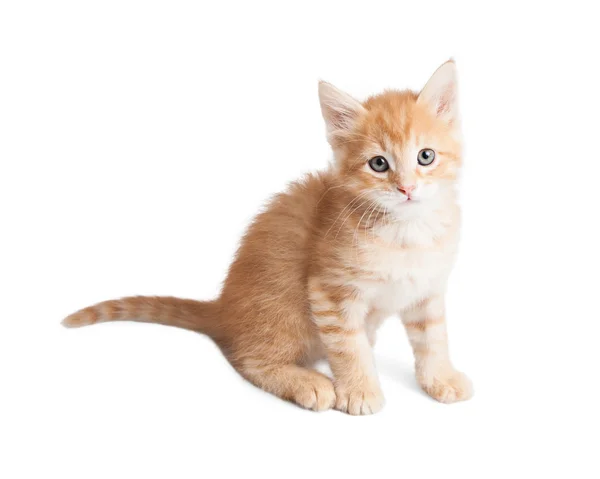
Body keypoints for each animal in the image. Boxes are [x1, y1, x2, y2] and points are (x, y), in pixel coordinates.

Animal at [62, 61, 474, 416]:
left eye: (425, 156)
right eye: (378, 164)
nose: (406, 188)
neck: (407, 231)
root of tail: (223, 308)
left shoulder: (427, 290)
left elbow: (433, 338)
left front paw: (441, 379)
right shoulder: (329, 291)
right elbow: (348, 347)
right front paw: (359, 390)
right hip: (283, 306)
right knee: (250, 358)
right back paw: (308, 381)